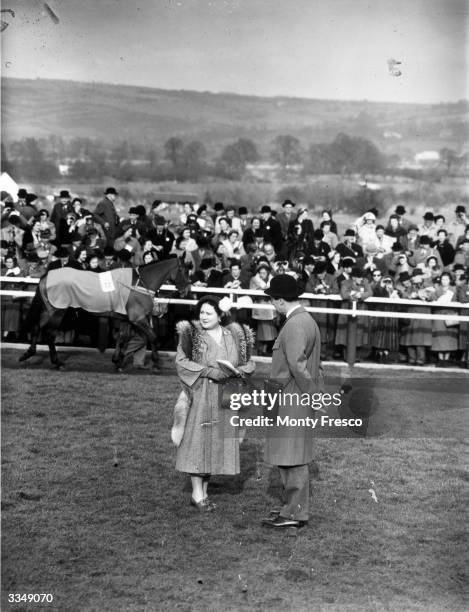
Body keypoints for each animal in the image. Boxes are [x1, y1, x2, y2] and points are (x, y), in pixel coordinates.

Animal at [19, 256, 188, 370]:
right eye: (183, 270)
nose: (186, 290)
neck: (139, 284)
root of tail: (47, 276)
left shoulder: (126, 319)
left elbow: (123, 337)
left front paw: (118, 361)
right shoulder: (138, 318)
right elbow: (153, 337)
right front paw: (156, 362)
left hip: (50, 309)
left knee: (37, 327)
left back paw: (28, 354)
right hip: (57, 311)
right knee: (49, 334)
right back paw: (57, 362)